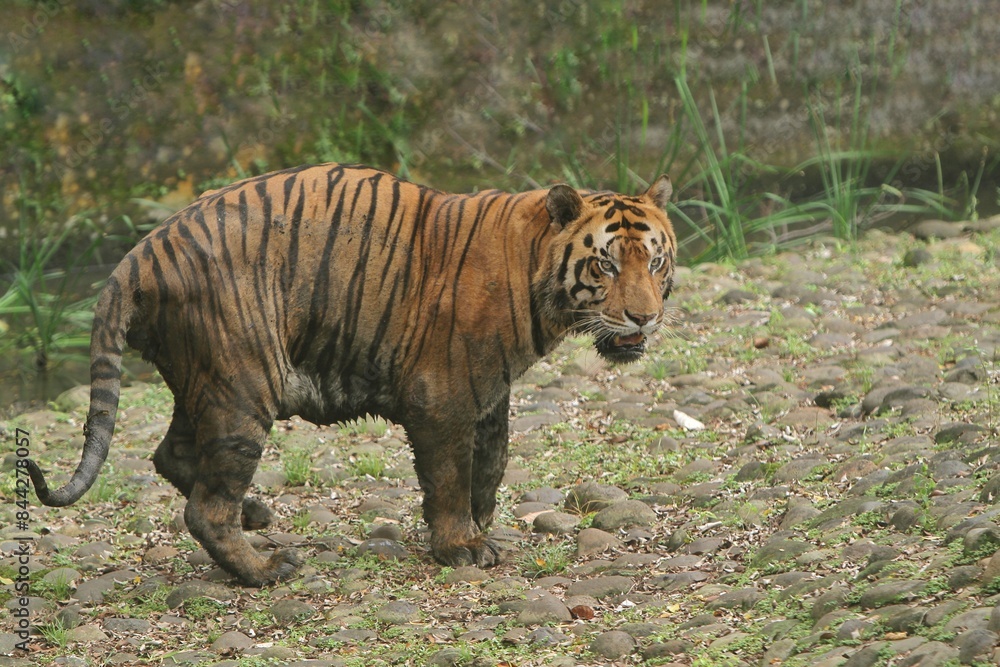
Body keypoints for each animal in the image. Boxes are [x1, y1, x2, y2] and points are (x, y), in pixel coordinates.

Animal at [27, 163, 677, 586]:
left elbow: (491, 463)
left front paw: (481, 524)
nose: (644, 316)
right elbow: (450, 475)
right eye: (605, 265)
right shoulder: (444, 396)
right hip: (243, 380)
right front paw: (461, 546)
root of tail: (140, 253)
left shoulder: (491, 392)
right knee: (205, 506)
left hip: (205, 379)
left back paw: (254, 513)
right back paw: (266, 568)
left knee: (172, 455)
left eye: (656, 261)